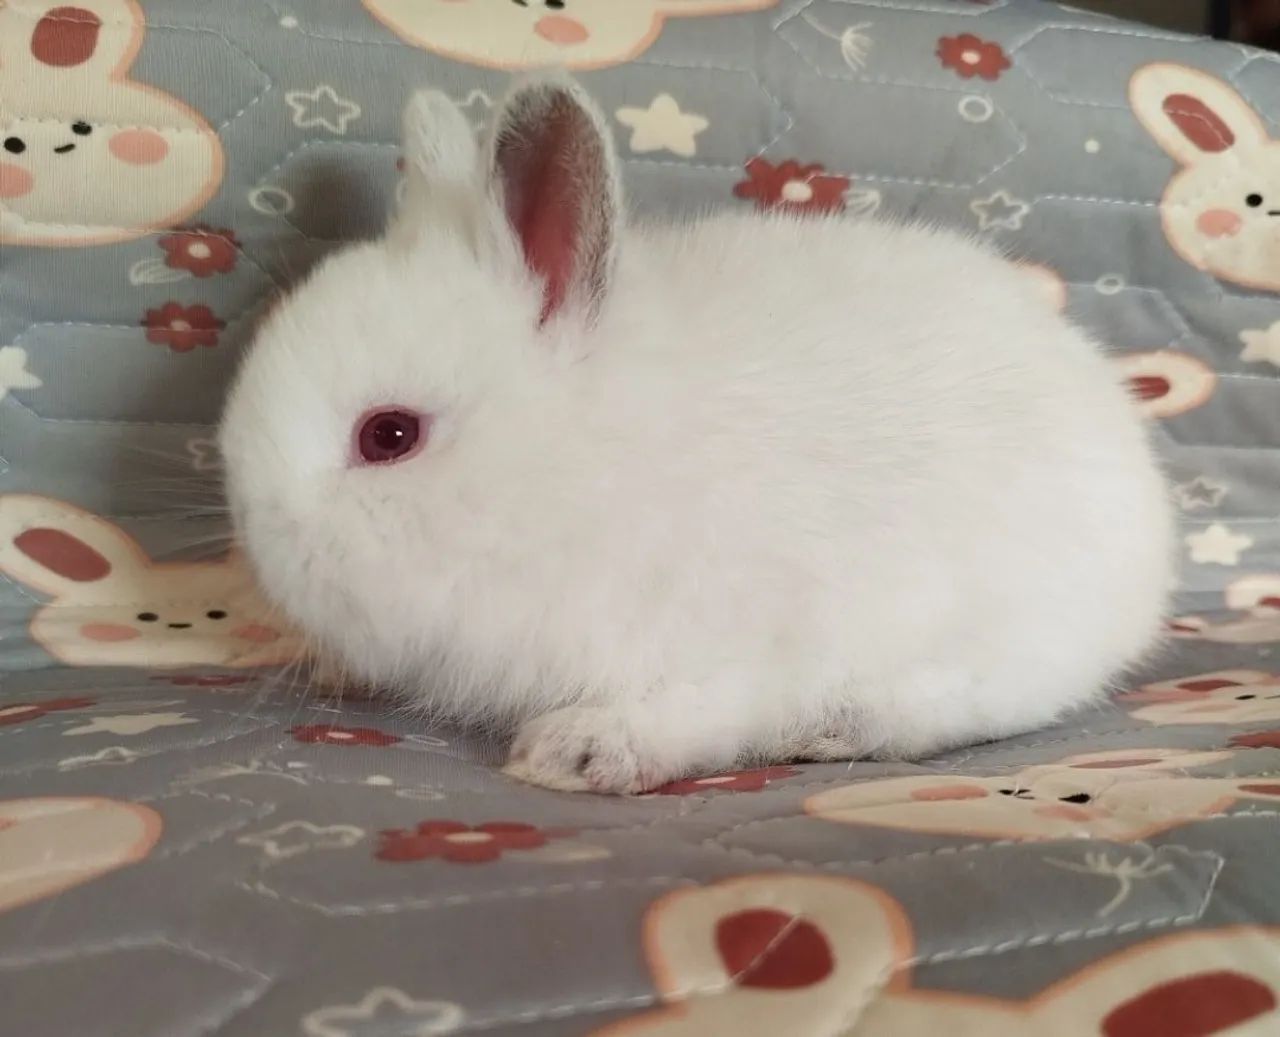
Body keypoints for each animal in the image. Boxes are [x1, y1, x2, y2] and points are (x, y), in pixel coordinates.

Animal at [218, 73, 1175, 794]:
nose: (256, 542)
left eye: (389, 435)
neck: (578, 471)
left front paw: (573, 753)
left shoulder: (727, 643)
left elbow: (697, 709)